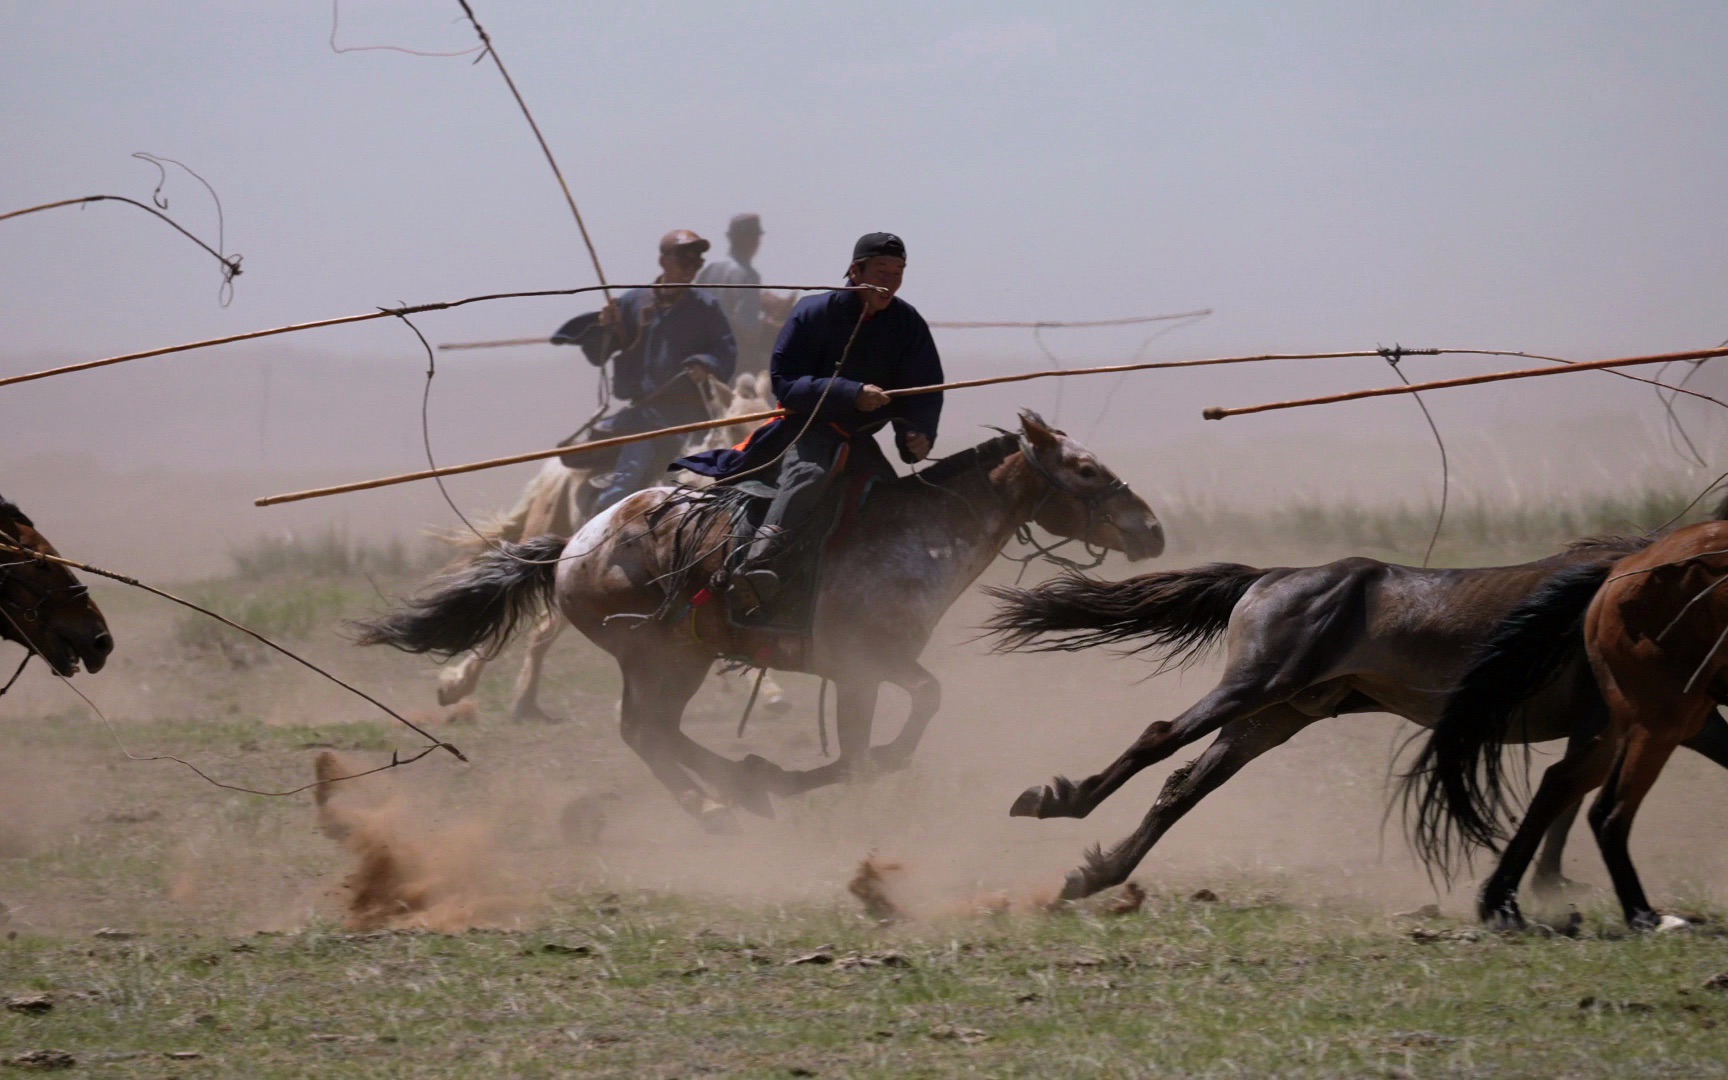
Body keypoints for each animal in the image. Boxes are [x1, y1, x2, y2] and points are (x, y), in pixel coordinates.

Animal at [362, 411, 1168, 825]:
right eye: (1086, 471)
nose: (1152, 529)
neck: (920, 532)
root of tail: (575, 546)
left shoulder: (875, 668)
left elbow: (907, 717)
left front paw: (801, 776)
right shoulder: (860, 669)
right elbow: (872, 741)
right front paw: (844, 776)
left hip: (665, 661)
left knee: (653, 731)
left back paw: (737, 786)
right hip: (664, 658)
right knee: (646, 732)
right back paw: (722, 801)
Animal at [1403, 521, 1728, 926]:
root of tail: (1619, 570)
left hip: (1636, 724)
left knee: (1561, 783)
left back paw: (1500, 903)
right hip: (1661, 721)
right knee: (1607, 813)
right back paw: (1644, 916)